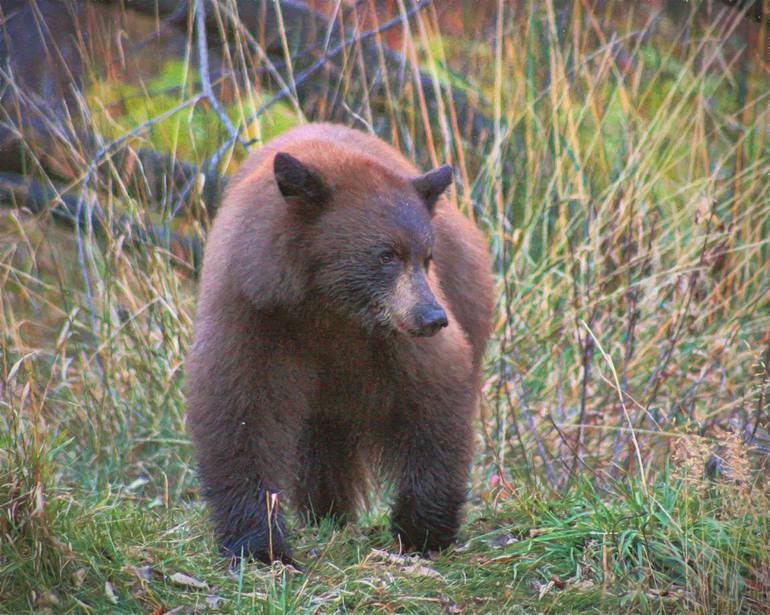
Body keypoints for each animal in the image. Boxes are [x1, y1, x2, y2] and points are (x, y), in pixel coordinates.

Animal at [184, 122, 492, 564]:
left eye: (426, 256)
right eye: (386, 254)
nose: (434, 318)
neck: (330, 308)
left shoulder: (399, 339)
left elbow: (434, 395)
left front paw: (423, 530)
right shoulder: (252, 311)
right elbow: (239, 411)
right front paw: (260, 544)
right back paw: (325, 513)